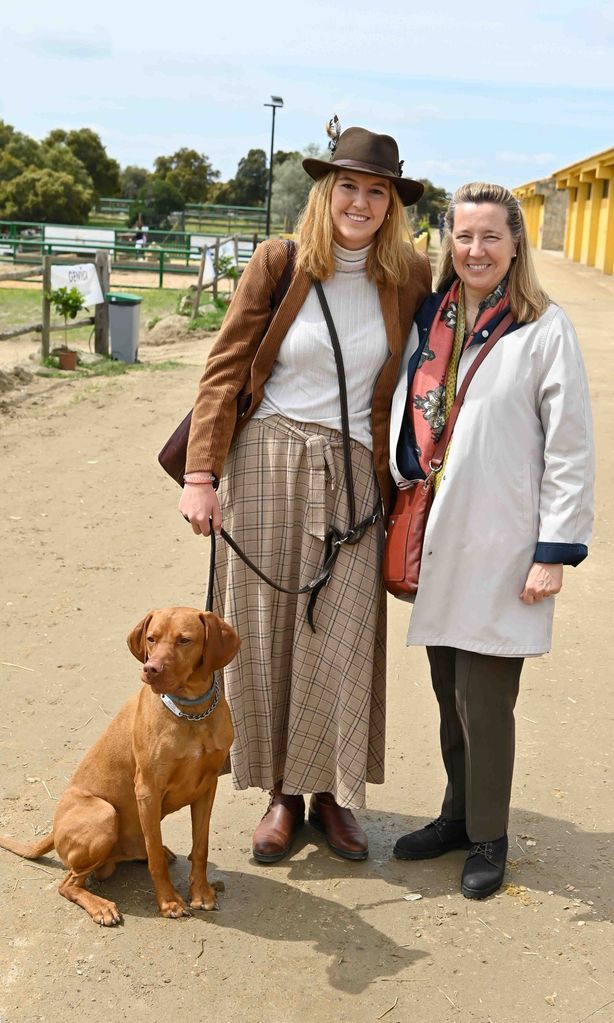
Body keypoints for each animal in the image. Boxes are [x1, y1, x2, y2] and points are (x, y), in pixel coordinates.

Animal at [0, 605, 239, 928]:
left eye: (184, 640)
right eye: (151, 639)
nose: (150, 669)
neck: (191, 712)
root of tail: (54, 829)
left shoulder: (207, 785)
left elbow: (200, 847)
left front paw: (201, 893)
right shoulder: (147, 790)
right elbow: (156, 862)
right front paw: (169, 903)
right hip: (104, 813)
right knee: (69, 884)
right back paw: (101, 906)